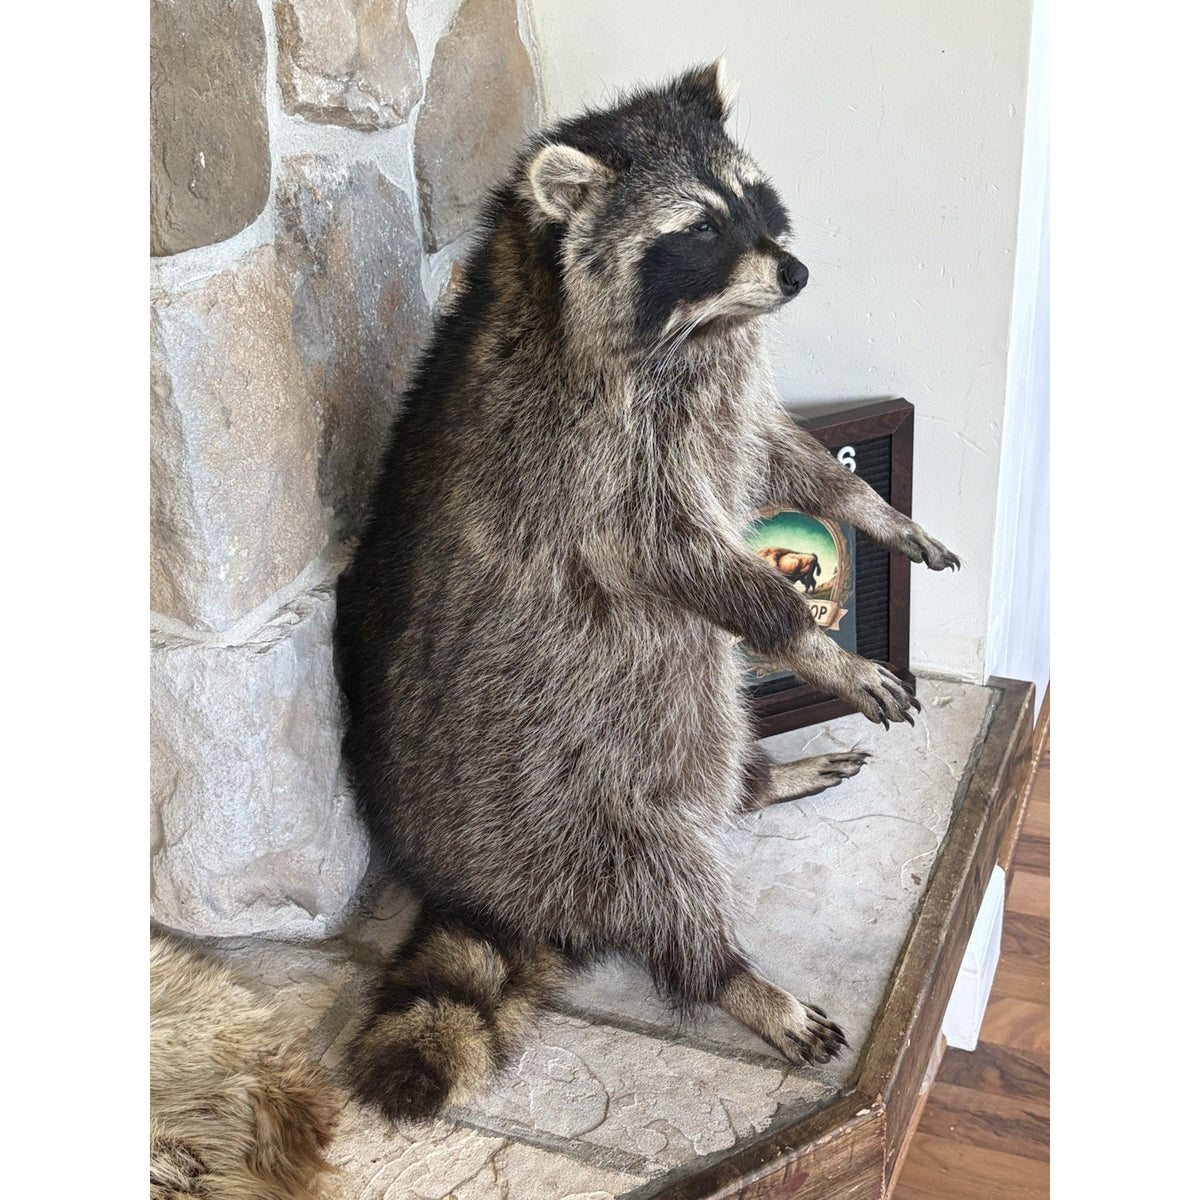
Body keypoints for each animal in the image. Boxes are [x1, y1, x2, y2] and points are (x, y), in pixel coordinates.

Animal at [334, 62, 960, 1123]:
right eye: (698, 230)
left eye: (754, 202)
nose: (795, 274)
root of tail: (483, 893)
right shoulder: (587, 456)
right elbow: (677, 557)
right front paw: (817, 647)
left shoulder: (725, 403)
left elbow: (779, 454)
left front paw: (869, 506)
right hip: (570, 796)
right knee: (658, 878)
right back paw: (734, 975)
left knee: (715, 747)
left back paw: (755, 783)